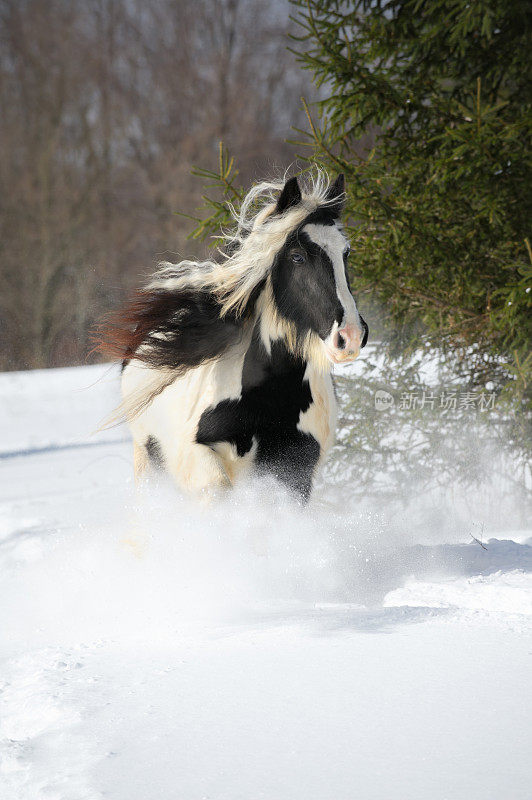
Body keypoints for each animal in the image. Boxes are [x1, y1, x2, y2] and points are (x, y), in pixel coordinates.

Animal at [97, 173, 368, 504]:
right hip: (148, 460)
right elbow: (217, 489)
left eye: (345, 253)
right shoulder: (197, 460)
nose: (350, 336)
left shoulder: (296, 473)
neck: (269, 394)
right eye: (297, 256)